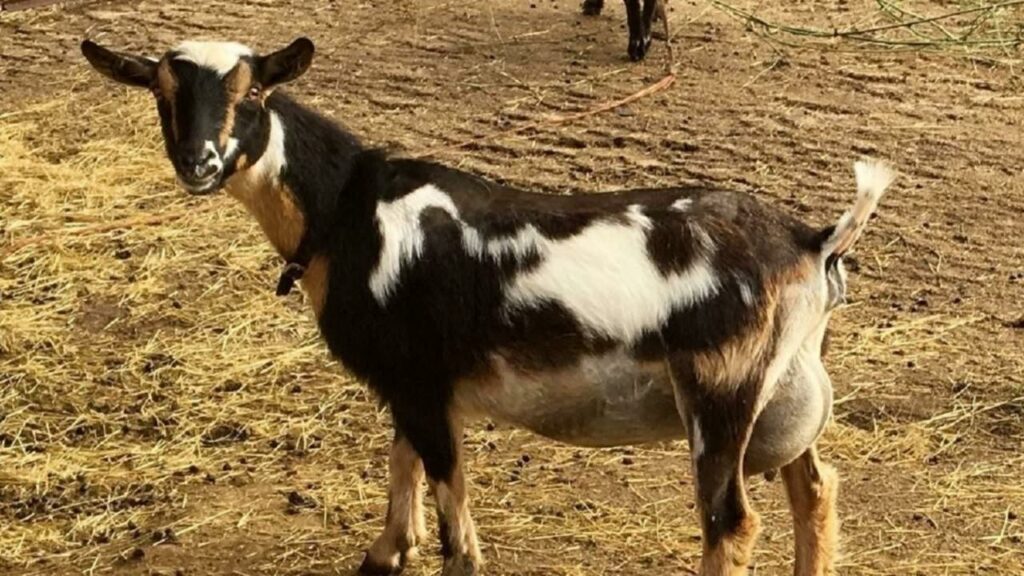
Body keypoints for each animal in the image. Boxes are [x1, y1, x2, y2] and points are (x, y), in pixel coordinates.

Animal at [82, 37, 894, 576]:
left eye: (253, 94)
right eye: (162, 94)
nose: (199, 164)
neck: (345, 210)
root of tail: (812, 240)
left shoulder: (419, 380)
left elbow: (455, 521)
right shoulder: (416, 381)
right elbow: (404, 459)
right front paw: (386, 552)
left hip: (722, 388)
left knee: (730, 520)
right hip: (786, 383)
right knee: (814, 491)